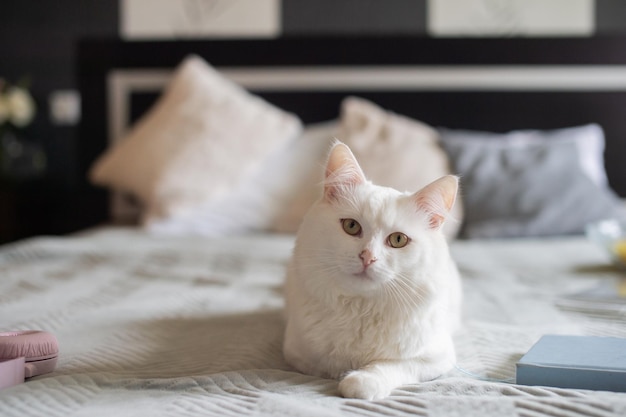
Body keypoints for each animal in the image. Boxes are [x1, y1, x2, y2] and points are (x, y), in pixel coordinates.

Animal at [282, 143, 458, 400]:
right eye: (351, 226)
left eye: (398, 240)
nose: (367, 257)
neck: (361, 308)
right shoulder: (296, 352)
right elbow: (326, 365)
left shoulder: (437, 357)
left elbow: (391, 365)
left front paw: (359, 381)